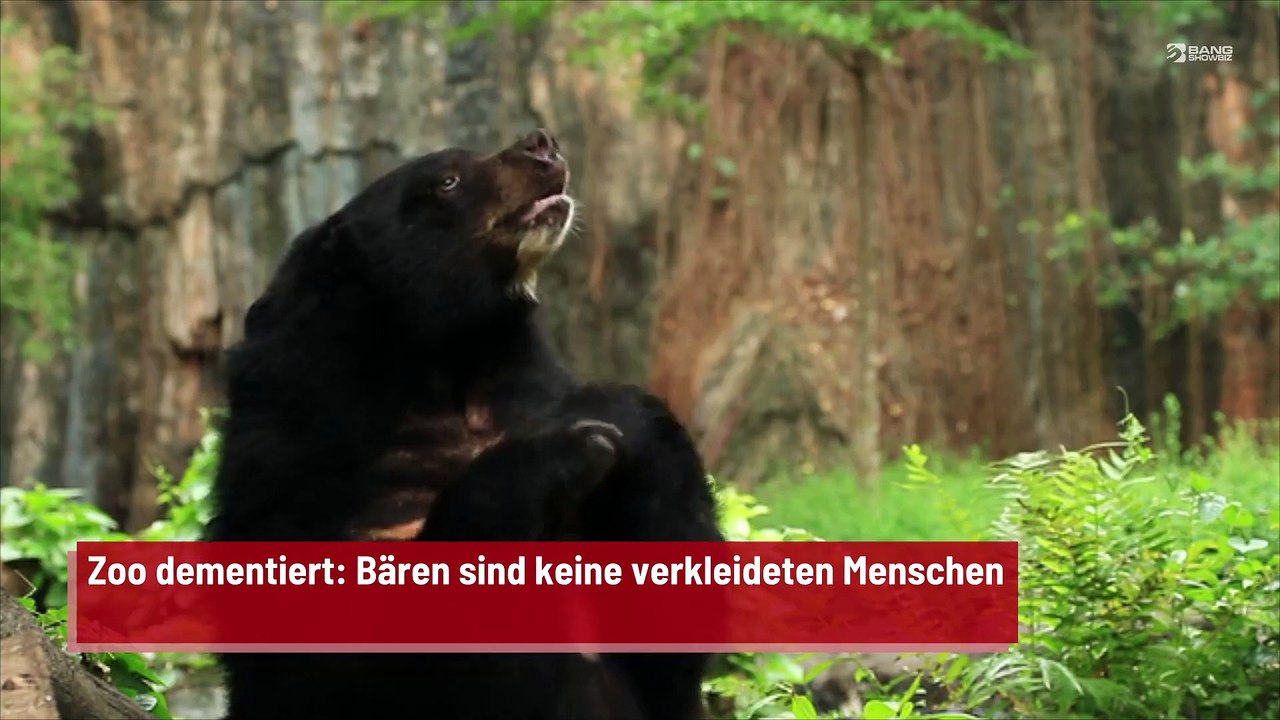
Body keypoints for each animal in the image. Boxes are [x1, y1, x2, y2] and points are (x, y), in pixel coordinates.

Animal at [206, 128, 724, 720]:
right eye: (447, 180)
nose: (541, 143)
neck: (455, 367)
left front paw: (616, 416)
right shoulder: (298, 464)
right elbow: (319, 658)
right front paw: (563, 453)